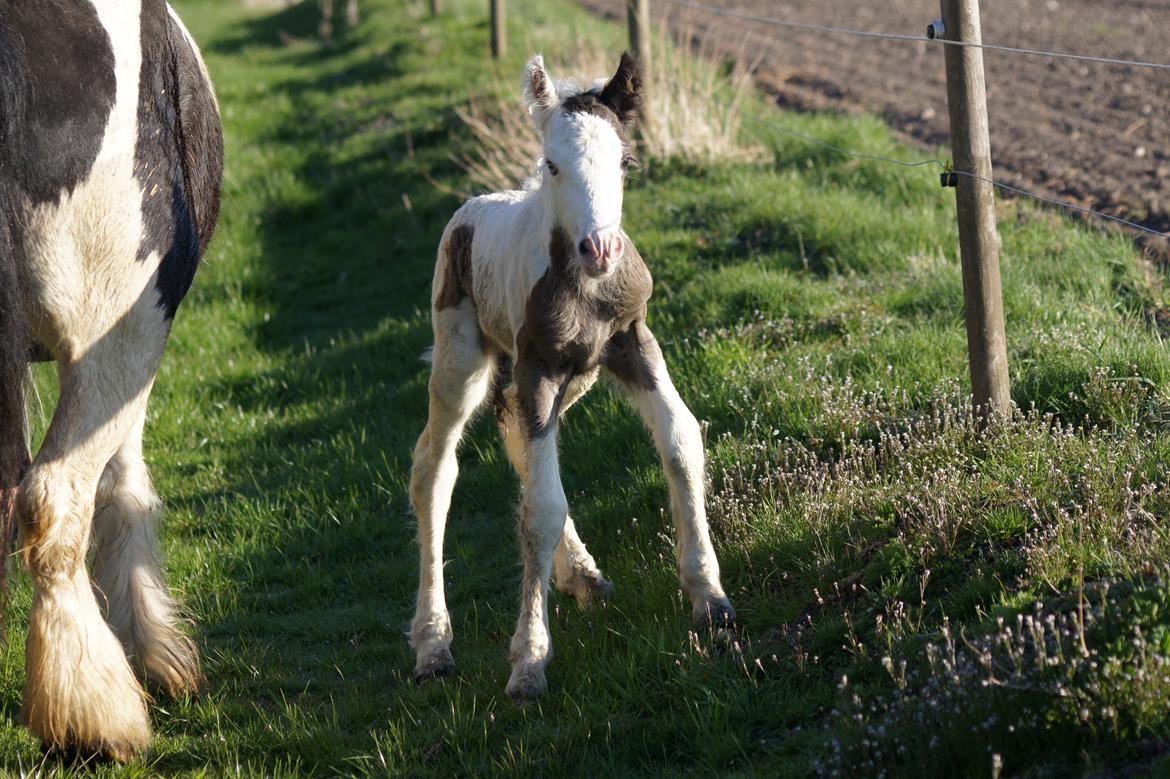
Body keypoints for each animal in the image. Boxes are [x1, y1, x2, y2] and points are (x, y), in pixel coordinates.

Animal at [411, 53, 734, 697]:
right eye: (553, 164)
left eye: (626, 161)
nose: (600, 250)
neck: (584, 290)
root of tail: (471, 208)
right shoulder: (537, 366)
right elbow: (540, 507)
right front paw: (529, 662)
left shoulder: (633, 342)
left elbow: (681, 438)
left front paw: (709, 596)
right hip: (462, 356)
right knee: (435, 467)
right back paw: (433, 643)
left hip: (573, 379)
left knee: (513, 429)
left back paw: (583, 576)